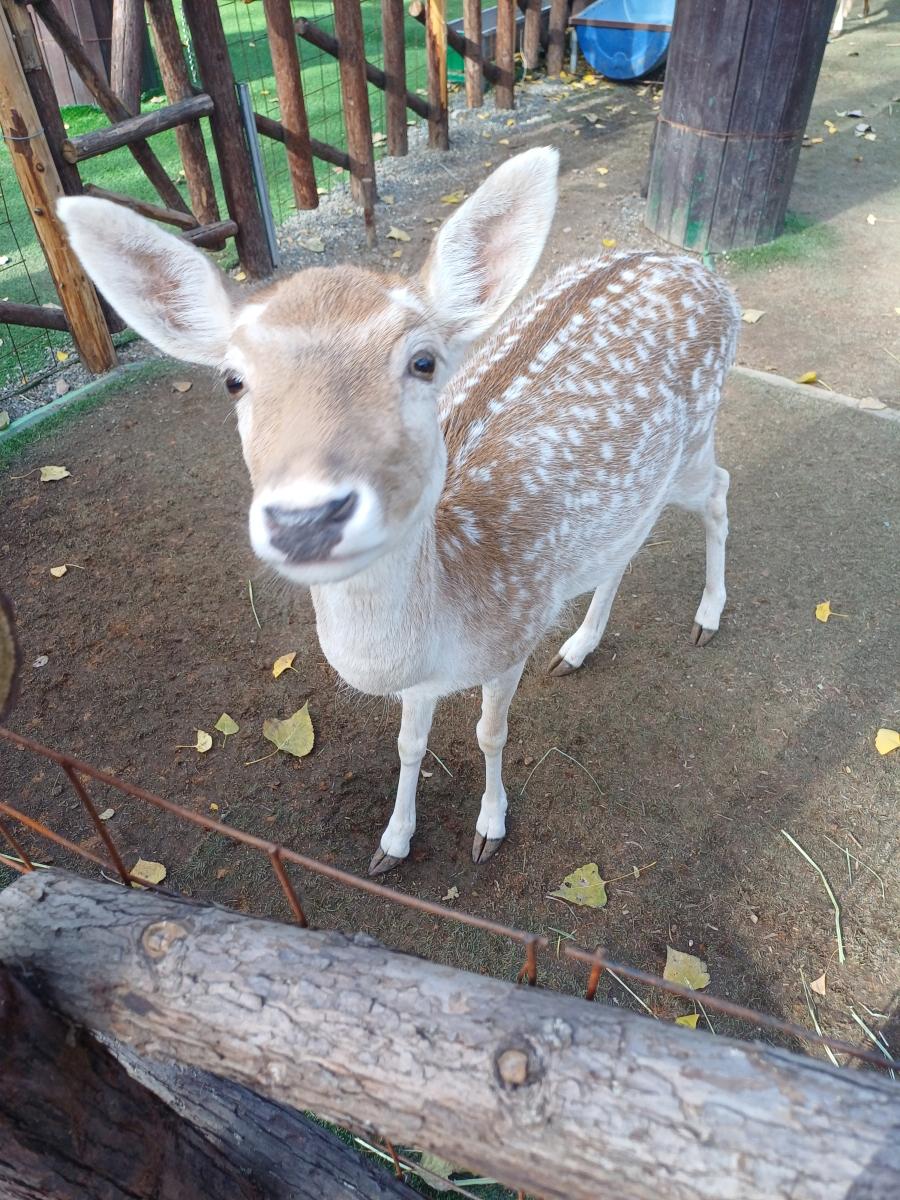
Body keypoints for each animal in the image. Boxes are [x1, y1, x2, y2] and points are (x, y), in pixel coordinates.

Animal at [58, 148, 740, 876]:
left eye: (423, 361)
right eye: (233, 379)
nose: (307, 518)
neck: (450, 615)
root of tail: (710, 276)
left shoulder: (514, 633)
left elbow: (490, 730)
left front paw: (489, 827)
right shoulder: (424, 677)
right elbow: (409, 745)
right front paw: (392, 842)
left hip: (696, 444)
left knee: (720, 491)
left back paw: (706, 617)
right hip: (640, 488)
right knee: (629, 545)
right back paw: (578, 647)